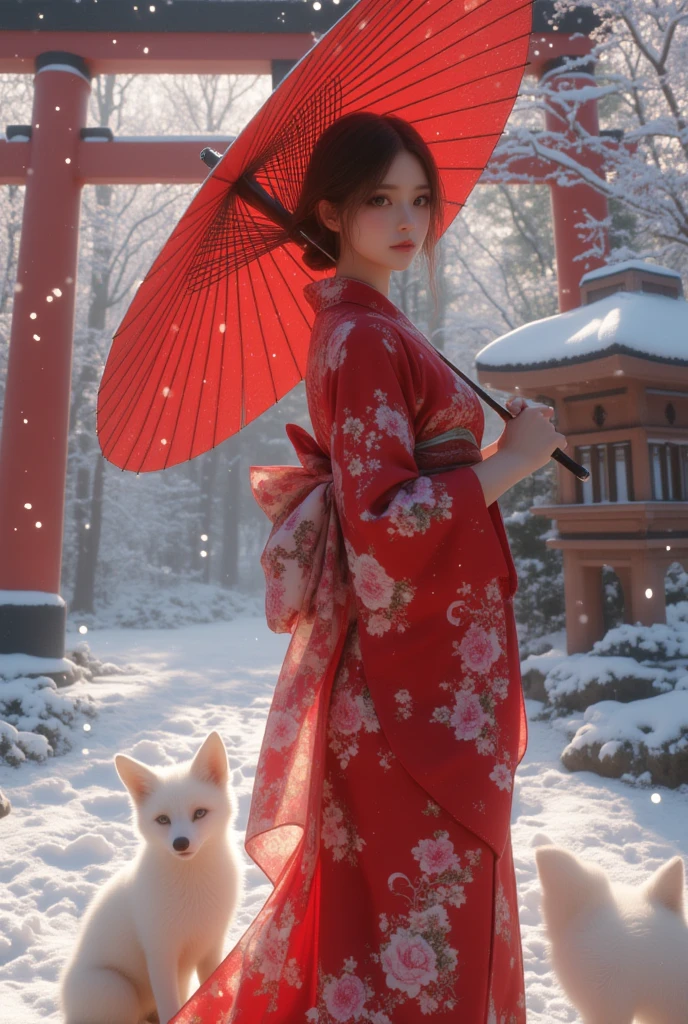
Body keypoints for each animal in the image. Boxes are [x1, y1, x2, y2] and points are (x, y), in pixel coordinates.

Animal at [59, 733, 243, 1024]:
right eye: (163, 819)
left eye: (199, 813)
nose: (180, 843)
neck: (193, 889)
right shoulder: (160, 953)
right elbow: (171, 1008)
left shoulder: (211, 946)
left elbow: (211, 991)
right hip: (115, 989)